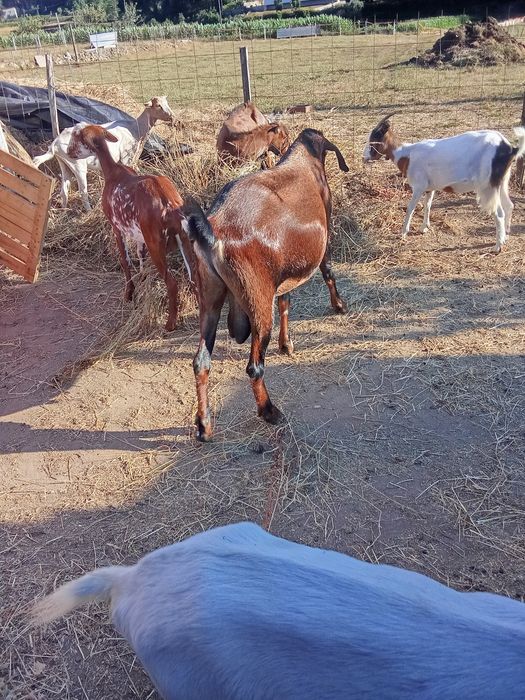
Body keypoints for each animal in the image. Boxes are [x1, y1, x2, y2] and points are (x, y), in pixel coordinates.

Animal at [33, 96, 174, 211]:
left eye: (167, 103)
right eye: (158, 105)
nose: (172, 117)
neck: (135, 129)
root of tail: (55, 144)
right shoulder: (126, 159)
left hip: (65, 164)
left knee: (64, 189)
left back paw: (64, 209)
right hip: (78, 165)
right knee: (83, 191)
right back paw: (89, 211)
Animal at [67, 125, 194, 331]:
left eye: (76, 137)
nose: (69, 152)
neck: (113, 172)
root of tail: (170, 206)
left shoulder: (116, 227)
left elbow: (125, 261)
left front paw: (129, 293)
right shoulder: (139, 236)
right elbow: (140, 258)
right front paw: (141, 281)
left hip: (156, 244)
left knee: (172, 282)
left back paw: (170, 324)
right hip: (183, 239)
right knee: (194, 275)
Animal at [183, 128, 348, 441]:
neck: (302, 161)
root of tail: (215, 231)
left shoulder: (282, 271)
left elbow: (285, 300)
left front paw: (287, 343)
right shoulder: (324, 237)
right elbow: (328, 271)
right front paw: (339, 305)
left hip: (209, 299)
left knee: (201, 362)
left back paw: (204, 425)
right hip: (258, 302)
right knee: (254, 367)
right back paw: (269, 411)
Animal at [363, 114, 525, 253]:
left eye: (374, 138)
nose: (364, 157)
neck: (407, 155)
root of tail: (510, 149)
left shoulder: (419, 186)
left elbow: (410, 208)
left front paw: (403, 233)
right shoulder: (430, 188)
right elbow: (427, 205)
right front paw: (424, 228)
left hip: (488, 185)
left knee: (499, 212)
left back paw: (497, 247)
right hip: (501, 181)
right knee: (509, 205)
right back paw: (505, 236)